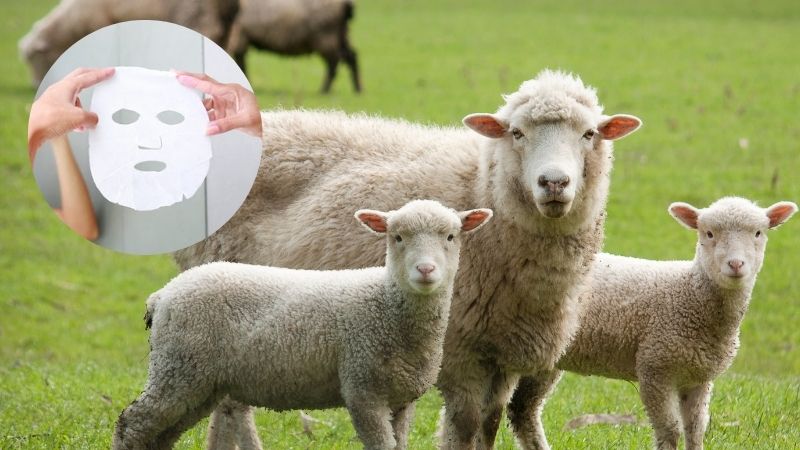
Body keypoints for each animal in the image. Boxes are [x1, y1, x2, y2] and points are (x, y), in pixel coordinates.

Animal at [113, 199, 493, 450]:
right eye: (397, 237)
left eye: (451, 237)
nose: (425, 270)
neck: (385, 304)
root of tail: (163, 295)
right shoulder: (363, 390)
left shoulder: (401, 400)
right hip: (178, 368)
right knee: (133, 424)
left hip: (198, 380)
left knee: (160, 434)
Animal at [174, 70, 643, 449]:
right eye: (516, 133)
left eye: (589, 134)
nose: (554, 182)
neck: (481, 188)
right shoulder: (459, 348)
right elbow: (465, 426)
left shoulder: (504, 350)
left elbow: (490, 425)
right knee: (233, 407)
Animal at [226, 0, 361, 93]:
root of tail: (346, 5)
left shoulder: (239, 36)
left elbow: (240, 63)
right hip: (342, 34)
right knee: (351, 56)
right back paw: (358, 89)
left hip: (326, 37)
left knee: (334, 62)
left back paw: (324, 90)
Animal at [507, 197, 798, 450]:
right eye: (708, 234)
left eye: (758, 233)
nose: (736, 264)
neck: (689, 293)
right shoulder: (654, 368)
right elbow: (669, 429)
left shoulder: (698, 377)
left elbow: (696, 429)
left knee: (522, 410)